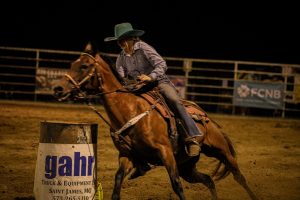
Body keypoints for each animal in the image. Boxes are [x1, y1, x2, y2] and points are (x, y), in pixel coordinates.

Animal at [53, 44, 258, 200]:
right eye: (72, 64)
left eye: (85, 66)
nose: (58, 88)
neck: (131, 110)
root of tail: (208, 119)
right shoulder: (127, 155)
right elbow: (118, 182)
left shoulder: (165, 152)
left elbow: (176, 185)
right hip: (187, 166)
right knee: (208, 179)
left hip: (221, 150)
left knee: (239, 177)